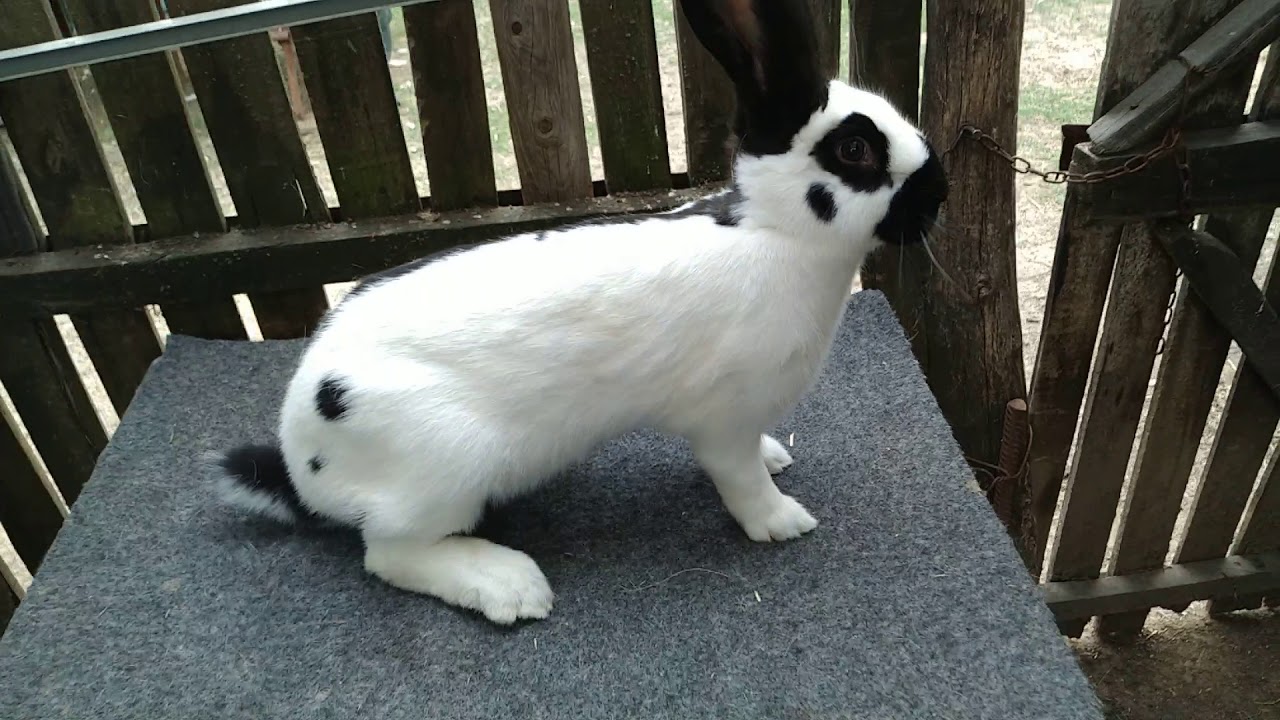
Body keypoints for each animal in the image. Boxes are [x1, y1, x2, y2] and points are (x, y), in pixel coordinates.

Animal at [212, 0, 948, 625]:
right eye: (855, 150)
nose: (939, 191)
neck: (776, 231)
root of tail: (300, 461)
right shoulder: (724, 418)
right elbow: (738, 480)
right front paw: (782, 521)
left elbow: (755, 458)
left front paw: (777, 459)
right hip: (446, 467)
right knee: (389, 553)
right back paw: (510, 586)